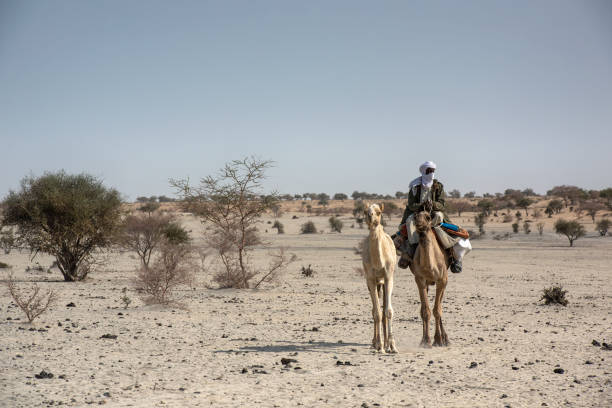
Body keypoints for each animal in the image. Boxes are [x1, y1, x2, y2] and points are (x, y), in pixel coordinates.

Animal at [360, 204, 400, 354]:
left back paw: (386, 344)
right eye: (365, 211)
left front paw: (392, 346)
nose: (370, 216)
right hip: (374, 283)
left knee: (383, 311)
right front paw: (380, 345)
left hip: (382, 282)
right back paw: (376, 343)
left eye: (378, 212)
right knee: (375, 311)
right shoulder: (370, 279)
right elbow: (376, 313)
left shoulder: (388, 277)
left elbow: (388, 311)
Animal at [412, 210, 450, 348]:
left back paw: (445, 339)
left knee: (439, 306)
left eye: (428, 217)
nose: (419, 223)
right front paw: (426, 340)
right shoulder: (420, 280)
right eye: (415, 216)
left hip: (444, 281)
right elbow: (425, 311)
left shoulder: (442, 280)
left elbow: (437, 311)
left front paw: (438, 340)